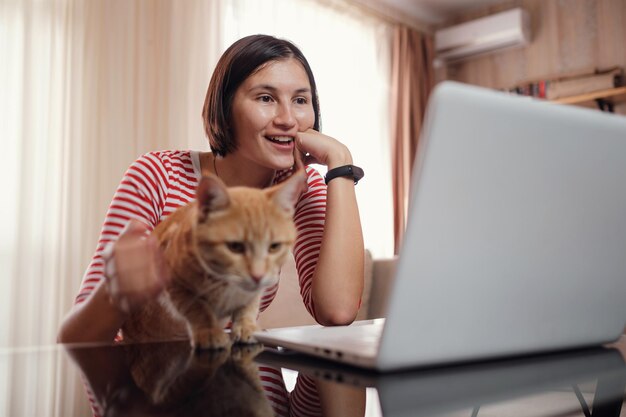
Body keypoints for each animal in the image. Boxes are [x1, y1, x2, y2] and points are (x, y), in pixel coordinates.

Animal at [120, 169, 306, 348]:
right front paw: (209, 331)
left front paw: (246, 326)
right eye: (235, 246)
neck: (225, 283)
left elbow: (247, 307)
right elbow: (198, 309)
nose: (257, 275)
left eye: (274, 246)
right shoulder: (175, 284)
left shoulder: (255, 291)